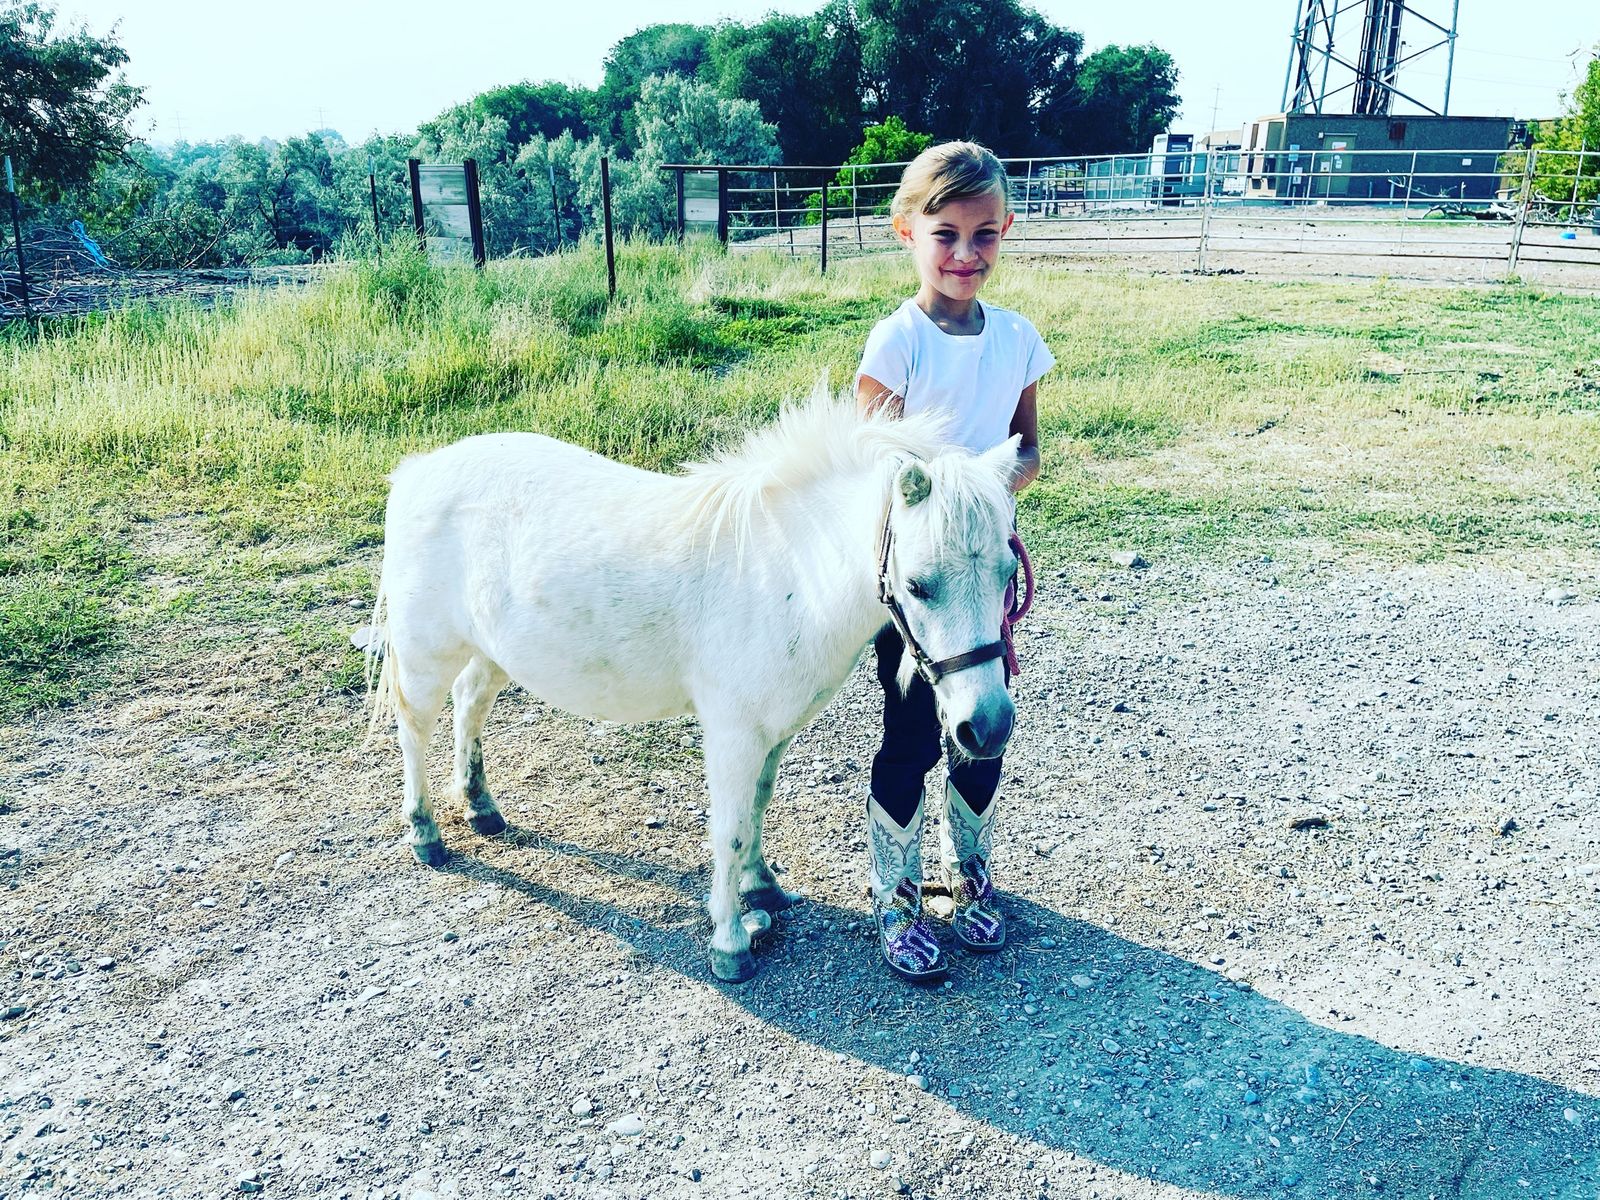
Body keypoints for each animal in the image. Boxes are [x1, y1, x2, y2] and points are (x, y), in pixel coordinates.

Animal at [368, 392, 1022, 982]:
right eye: (918, 585)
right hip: (427, 656)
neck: (790, 574)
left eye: (1008, 572)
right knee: (415, 729)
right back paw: (425, 833)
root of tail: (418, 469)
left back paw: (480, 806)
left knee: (470, 705)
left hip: (493, 652)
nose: (987, 726)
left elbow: (757, 808)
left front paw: (764, 890)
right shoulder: (732, 736)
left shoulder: (771, 734)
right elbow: (728, 831)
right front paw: (730, 944)